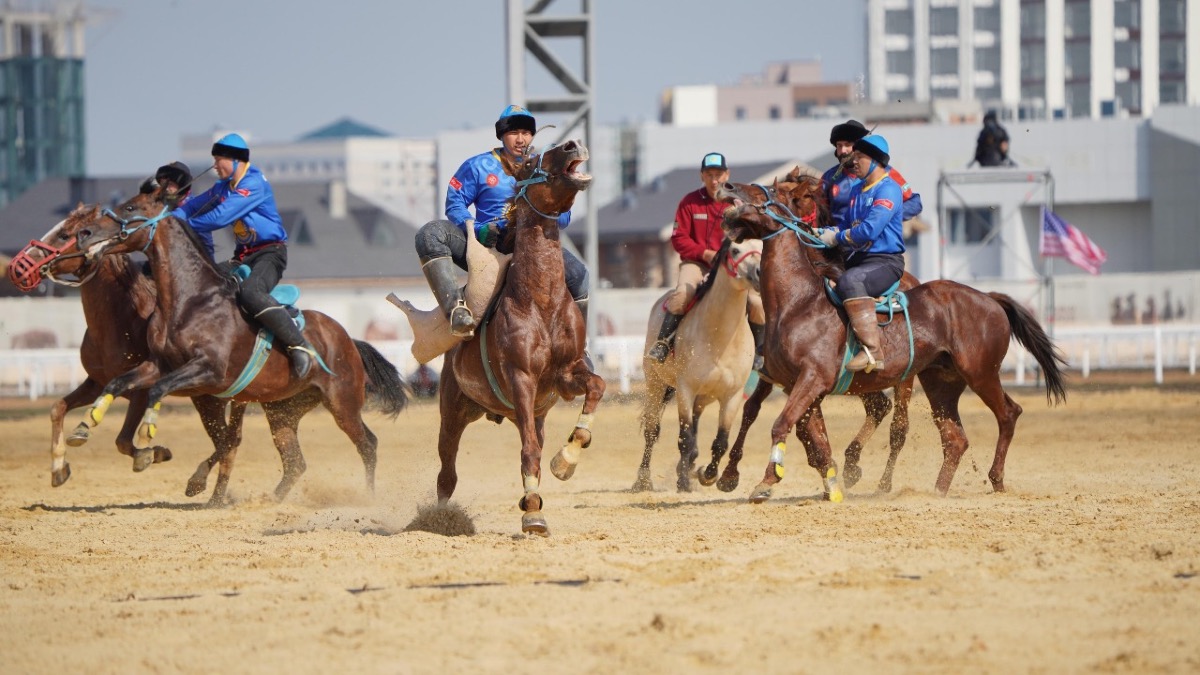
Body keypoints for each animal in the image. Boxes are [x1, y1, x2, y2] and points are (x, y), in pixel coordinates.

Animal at [6, 207, 246, 492]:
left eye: (65, 234)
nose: (17, 266)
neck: (120, 319)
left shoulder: (141, 389)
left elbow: (122, 440)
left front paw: (153, 453)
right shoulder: (97, 382)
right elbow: (57, 408)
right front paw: (58, 468)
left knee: (230, 441)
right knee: (229, 441)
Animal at [66, 183, 412, 499]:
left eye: (129, 207)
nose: (85, 233)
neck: (191, 301)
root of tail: (347, 339)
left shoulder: (208, 370)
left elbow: (158, 390)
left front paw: (148, 429)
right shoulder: (158, 365)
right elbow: (119, 382)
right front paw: (85, 425)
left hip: (342, 404)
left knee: (368, 444)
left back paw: (368, 497)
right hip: (282, 411)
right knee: (294, 461)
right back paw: (270, 500)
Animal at [434, 139, 604, 533]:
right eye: (528, 163)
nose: (573, 144)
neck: (541, 301)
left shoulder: (566, 375)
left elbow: (596, 387)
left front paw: (567, 458)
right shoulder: (521, 377)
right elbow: (528, 451)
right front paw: (533, 515)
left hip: (531, 413)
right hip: (453, 411)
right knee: (447, 473)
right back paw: (440, 518)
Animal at [633, 239, 763, 492]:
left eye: (763, 248)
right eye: (735, 250)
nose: (759, 273)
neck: (721, 337)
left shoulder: (732, 395)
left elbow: (721, 441)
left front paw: (708, 475)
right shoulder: (685, 389)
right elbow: (684, 438)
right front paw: (684, 482)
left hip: (704, 398)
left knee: (694, 427)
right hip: (656, 384)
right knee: (652, 431)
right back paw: (643, 480)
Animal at [710, 176, 1070, 502]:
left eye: (772, 191)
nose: (727, 187)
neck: (799, 302)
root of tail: (989, 298)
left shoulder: (812, 379)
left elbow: (783, 424)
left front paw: (767, 481)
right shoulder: (796, 385)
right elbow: (812, 436)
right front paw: (830, 483)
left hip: (980, 374)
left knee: (1007, 413)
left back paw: (994, 478)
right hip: (940, 384)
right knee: (954, 438)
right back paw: (935, 492)